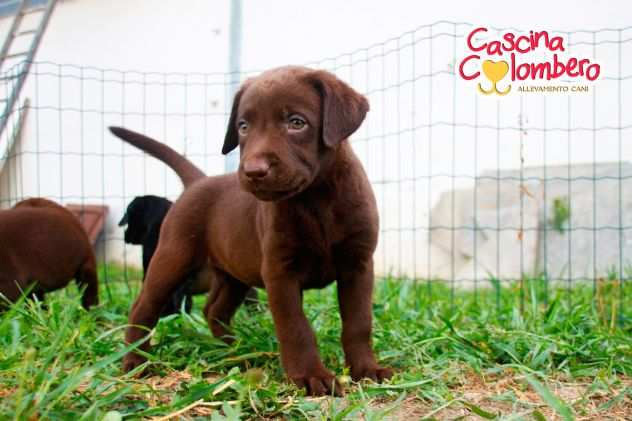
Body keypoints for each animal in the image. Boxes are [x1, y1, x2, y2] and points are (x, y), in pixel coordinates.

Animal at [121, 65, 392, 394]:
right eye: (243, 126)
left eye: (296, 122)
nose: (253, 171)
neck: (316, 198)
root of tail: (199, 181)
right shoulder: (280, 270)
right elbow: (295, 326)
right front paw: (310, 376)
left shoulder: (358, 264)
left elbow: (358, 323)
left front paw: (366, 369)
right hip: (173, 256)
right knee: (144, 306)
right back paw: (135, 361)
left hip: (235, 272)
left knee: (215, 310)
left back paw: (233, 350)